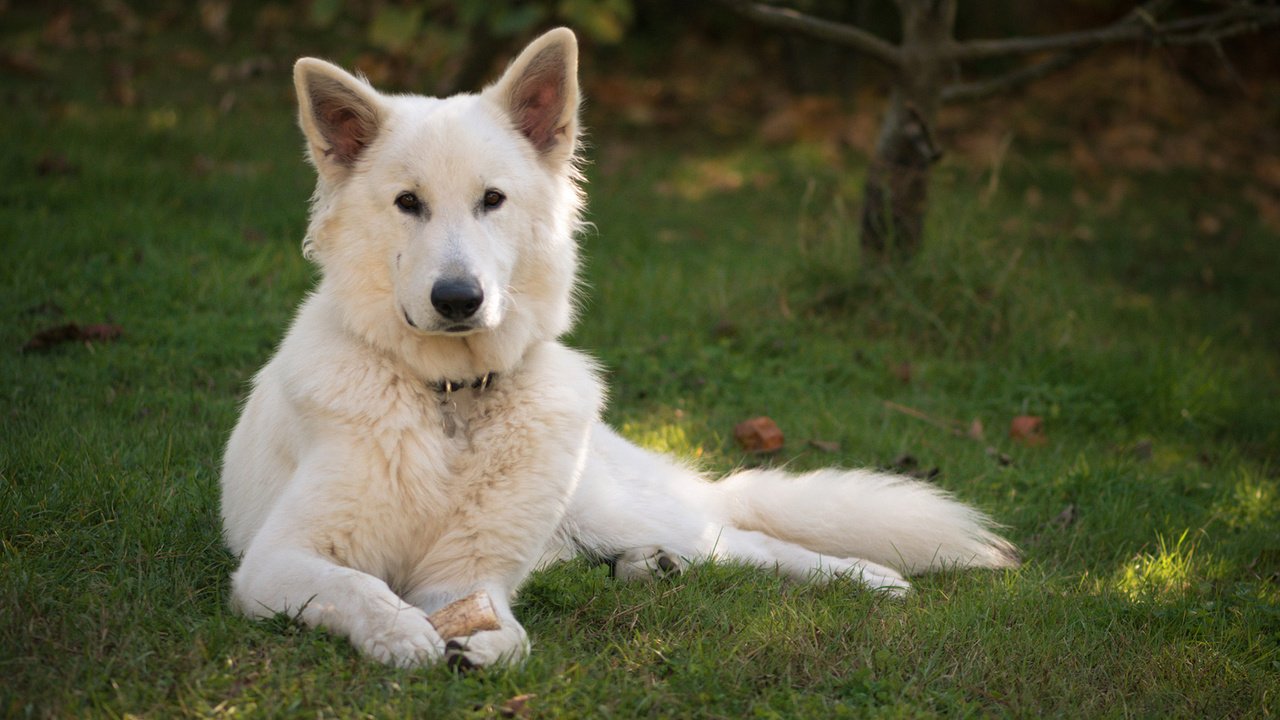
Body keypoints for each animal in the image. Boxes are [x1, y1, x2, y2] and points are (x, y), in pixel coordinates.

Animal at [222, 26, 1018, 666]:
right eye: (407, 203)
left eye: (492, 200)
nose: (458, 300)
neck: (450, 405)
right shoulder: (276, 561)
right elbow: (358, 588)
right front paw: (404, 636)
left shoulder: (464, 573)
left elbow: (509, 633)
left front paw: (484, 643)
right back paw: (647, 568)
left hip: (616, 510)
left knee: (751, 542)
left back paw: (862, 575)